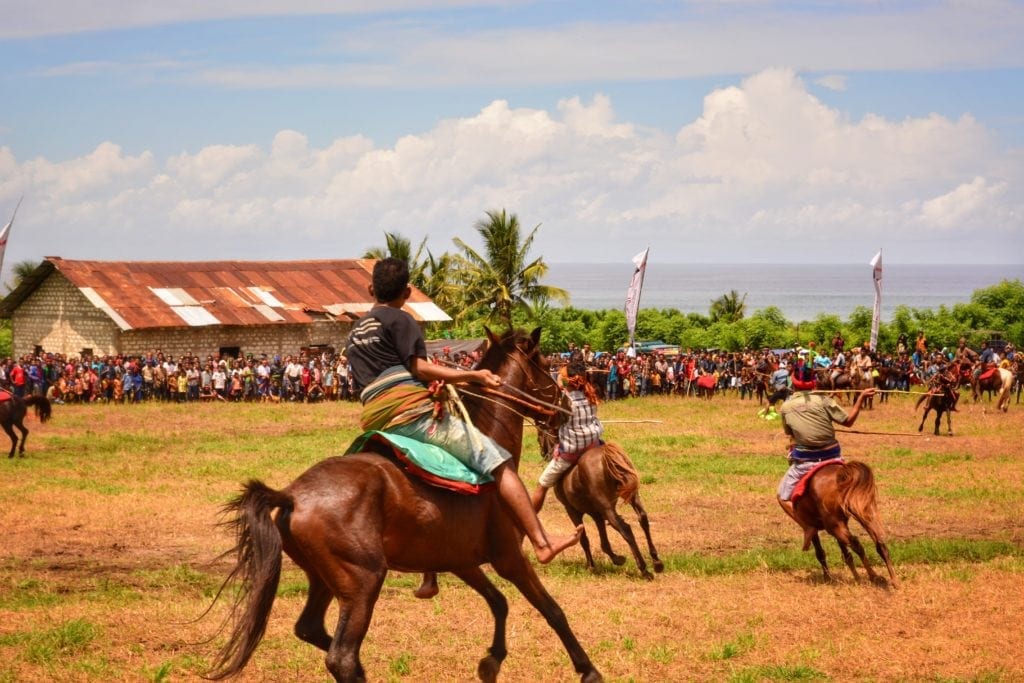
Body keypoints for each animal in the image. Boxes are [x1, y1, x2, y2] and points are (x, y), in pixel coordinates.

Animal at [209, 329, 606, 683]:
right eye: (544, 365)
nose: (565, 408)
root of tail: (292, 494)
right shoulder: (509, 557)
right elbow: (551, 610)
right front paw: (588, 669)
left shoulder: (461, 561)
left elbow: (499, 603)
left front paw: (491, 661)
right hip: (363, 582)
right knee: (342, 657)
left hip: (324, 579)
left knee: (312, 630)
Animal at [790, 458, 897, 589]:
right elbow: (846, 554)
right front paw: (856, 578)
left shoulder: (814, 527)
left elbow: (820, 553)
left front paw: (828, 578)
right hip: (864, 514)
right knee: (879, 543)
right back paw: (894, 580)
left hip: (834, 526)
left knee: (856, 544)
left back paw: (875, 577)